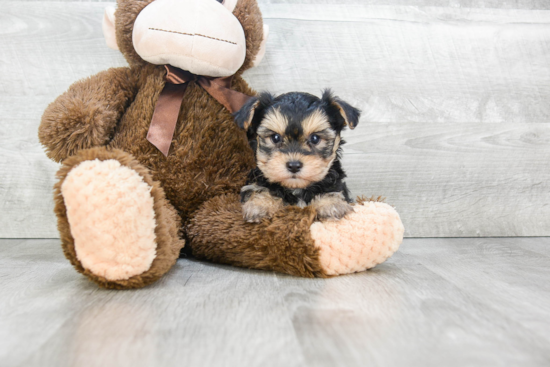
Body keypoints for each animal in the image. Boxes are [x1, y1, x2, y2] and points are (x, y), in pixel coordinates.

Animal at [234, 90, 360, 223]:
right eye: (275, 137)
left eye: (315, 138)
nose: (294, 166)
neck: (296, 188)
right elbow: (259, 188)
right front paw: (260, 204)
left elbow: (333, 189)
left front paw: (331, 203)